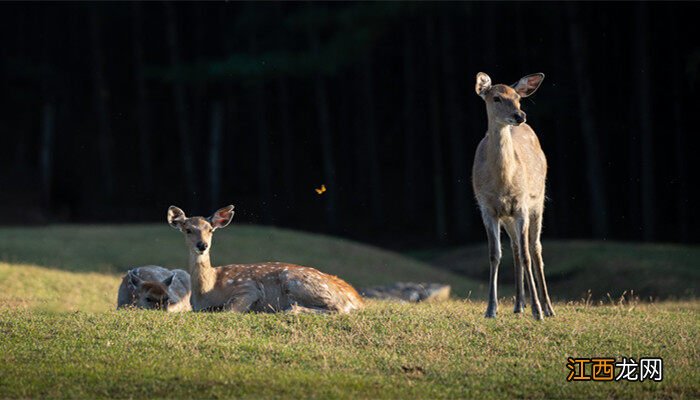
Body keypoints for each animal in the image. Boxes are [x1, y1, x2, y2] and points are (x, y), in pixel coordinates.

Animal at [166, 205, 364, 314]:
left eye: (210, 230)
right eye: (188, 230)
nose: (202, 245)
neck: (207, 289)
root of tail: (356, 299)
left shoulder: (248, 287)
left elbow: (229, 309)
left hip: (296, 281)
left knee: (338, 308)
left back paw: (289, 310)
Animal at [474, 72, 556, 322]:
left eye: (518, 98)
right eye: (497, 98)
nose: (520, 115)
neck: (503, 182)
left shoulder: (521, 206)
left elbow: (529, 254)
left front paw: (537, 310)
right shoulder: (487, 209)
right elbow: (494, 254)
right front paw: (490, 309)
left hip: (538, 202)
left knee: (535, 248)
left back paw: (547, 307)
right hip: (508, 218)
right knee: (516, 249)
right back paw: (519, 304)